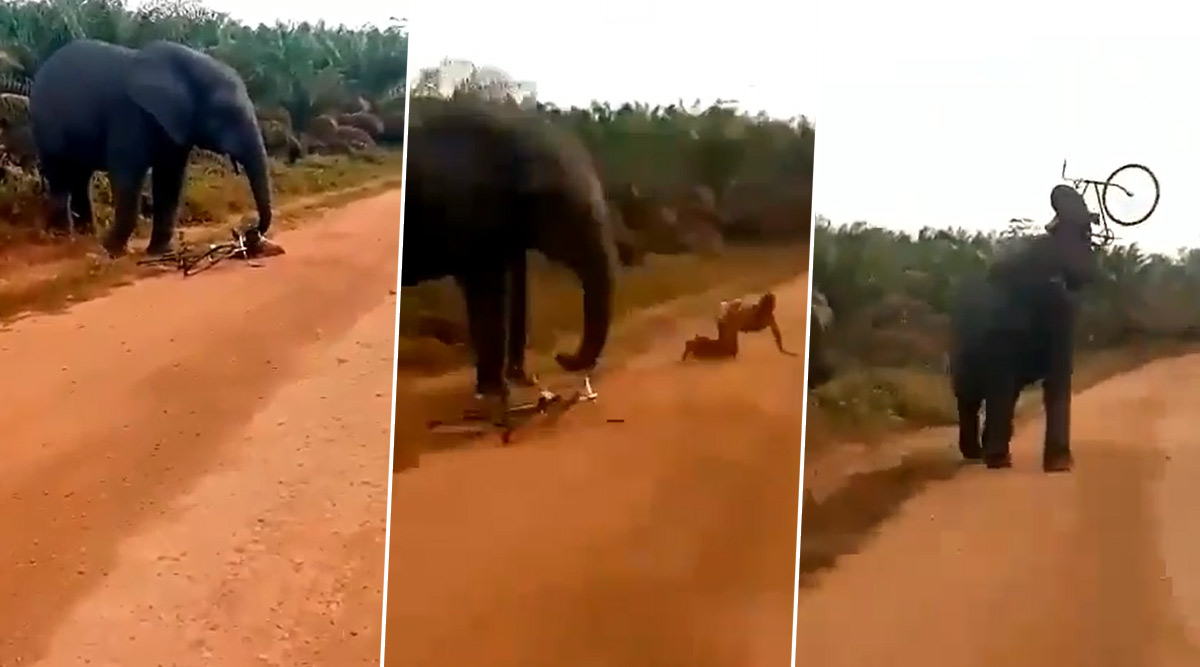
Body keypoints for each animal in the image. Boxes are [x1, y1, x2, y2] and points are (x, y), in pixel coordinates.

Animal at [28, 39, 274, 255]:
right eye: (226, 113)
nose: (248, 231)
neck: (188, 66)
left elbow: (170, 180)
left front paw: (158, 251)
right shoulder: (129, 113)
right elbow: (128, 176)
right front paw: (111, 251)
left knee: (80, 177)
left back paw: (84, 237)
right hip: (45, 121)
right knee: (59, 175)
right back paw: (63, 239)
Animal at [405, 100, 619, 405]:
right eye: (562, 209)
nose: (561, 357)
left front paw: (503, 386)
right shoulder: (471, 217)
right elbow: (488, 292)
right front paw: (496, 392)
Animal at [945, 184, 1099, 472]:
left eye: (1087, 235)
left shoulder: (1063, 319)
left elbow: (1058, 378)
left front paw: (1059, 465)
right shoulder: (1001, 325)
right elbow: (1001, 382)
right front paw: (998, 462)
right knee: (970, 398)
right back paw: (977, 455)